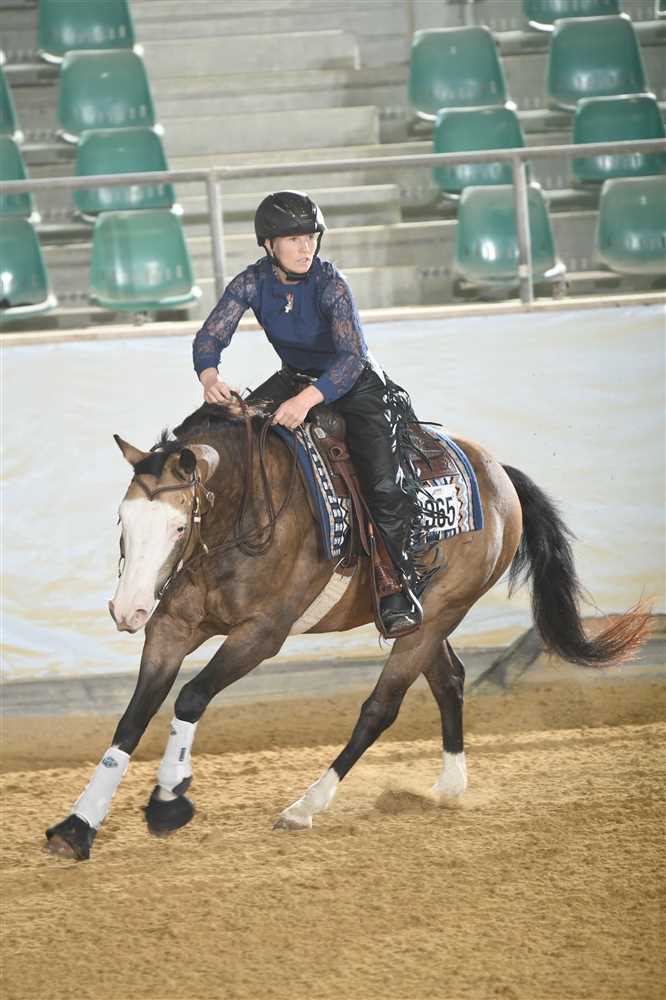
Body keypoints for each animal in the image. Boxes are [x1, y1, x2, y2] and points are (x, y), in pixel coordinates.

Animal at [45, 397, 649, 860]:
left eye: (176, 526)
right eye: (122, 520)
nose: (126, 609)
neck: (244, 515)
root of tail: (498, 473)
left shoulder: (261, 634)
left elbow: (191, 696)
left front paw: (170, 800)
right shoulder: (170, 627)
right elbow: (131, 720)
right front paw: (79, 825)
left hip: (441, 612)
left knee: (380, 708)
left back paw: (304, 806)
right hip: (423, 619)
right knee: (449, 679)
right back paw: (449, 786)